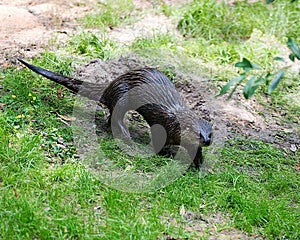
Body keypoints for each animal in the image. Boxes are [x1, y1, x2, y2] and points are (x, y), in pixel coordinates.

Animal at [18, 58, 212, 169]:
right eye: (198, 133)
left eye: (210, 134)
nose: (207, 141)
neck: (175, 122)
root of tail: (112, 84)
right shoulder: (163, 125)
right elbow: (158, 141)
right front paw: (162, 153)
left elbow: (195, 153)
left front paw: (199, 167)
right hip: (122, 93)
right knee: (117, 115)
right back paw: (126, 136)